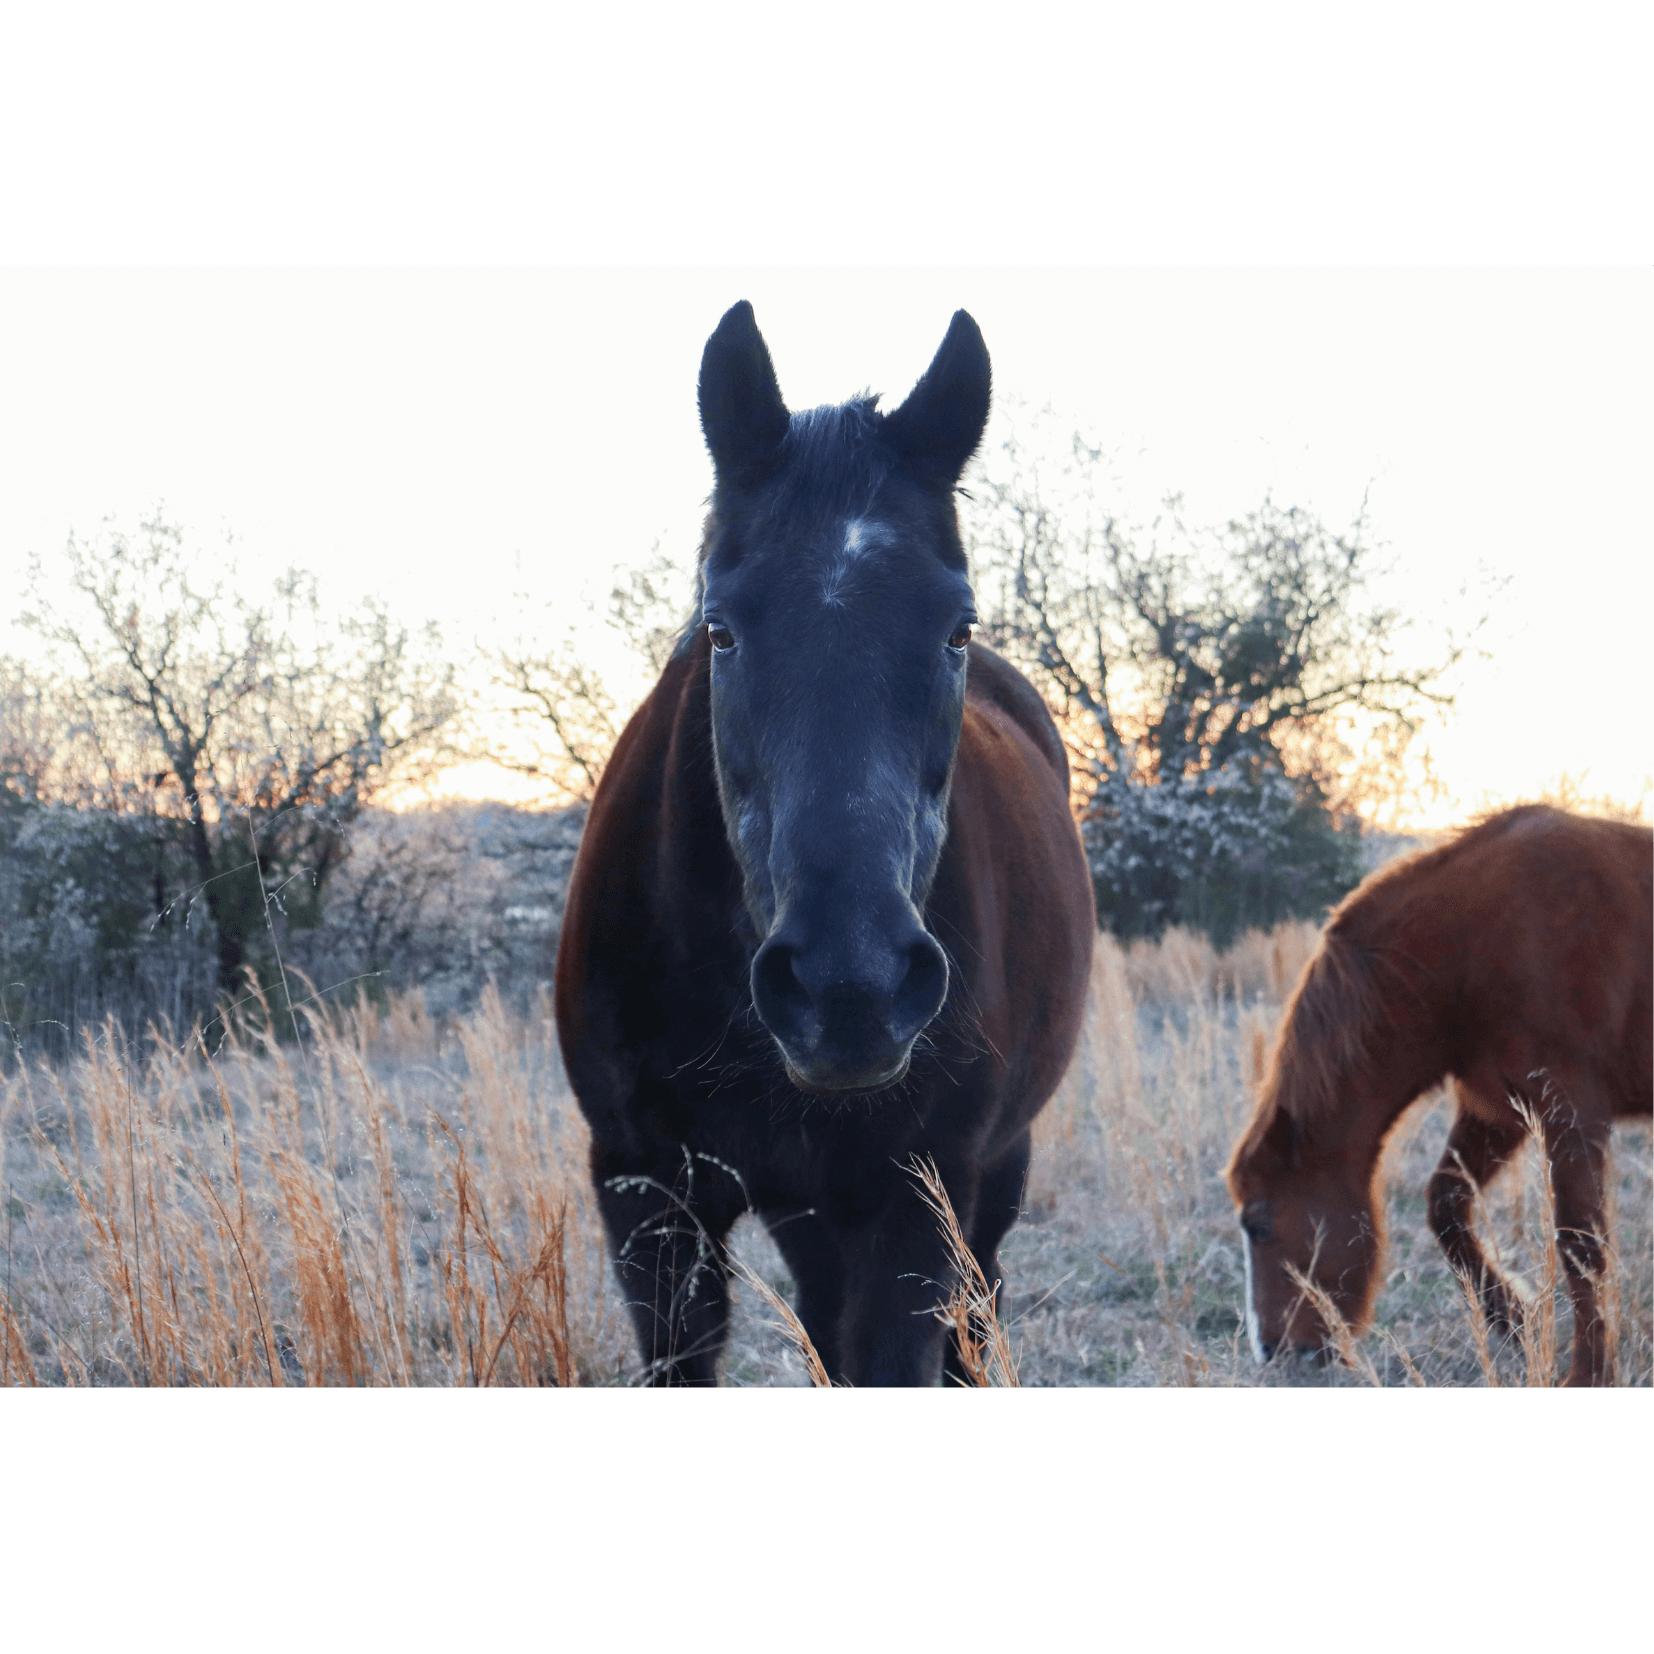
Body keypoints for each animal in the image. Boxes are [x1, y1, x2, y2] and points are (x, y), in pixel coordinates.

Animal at [555, 304, 1098, 1389]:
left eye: (956, 627)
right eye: (720, 628)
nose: (851, 987)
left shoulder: (916, 1201)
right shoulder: (645, 1199)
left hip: (986, 1175)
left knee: (977, 1314)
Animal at [1223, 800, 1647, 1382]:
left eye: (1260, 1224)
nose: (1273, 1351)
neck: (1473, 945)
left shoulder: (1573, 1115)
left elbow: (1582, 1245)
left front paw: (1589, 1374)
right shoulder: (1498, 1112)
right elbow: (1445, 1206)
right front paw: (1515, 1320)